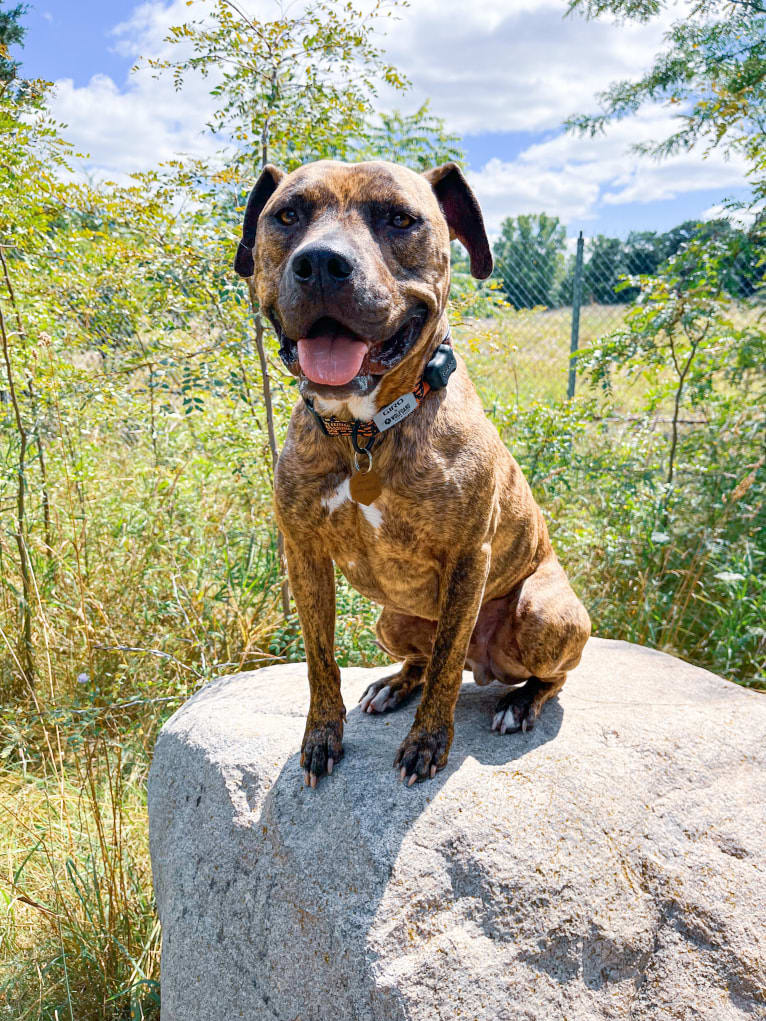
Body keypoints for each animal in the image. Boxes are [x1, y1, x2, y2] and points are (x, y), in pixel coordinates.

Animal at [235, 155, 592, 784]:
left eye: (400, 219)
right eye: (288, 215)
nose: (321, 264)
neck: (365, 432)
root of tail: (486, 665)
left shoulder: (469, 557)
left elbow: (448, 661)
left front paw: (427, 743)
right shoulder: (304, 554)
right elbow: (320, 659)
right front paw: (321, 736)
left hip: (543, 612)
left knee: (546, 674)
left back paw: (519, 702)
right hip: (392, 620)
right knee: (421, 657)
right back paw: (395, 684)